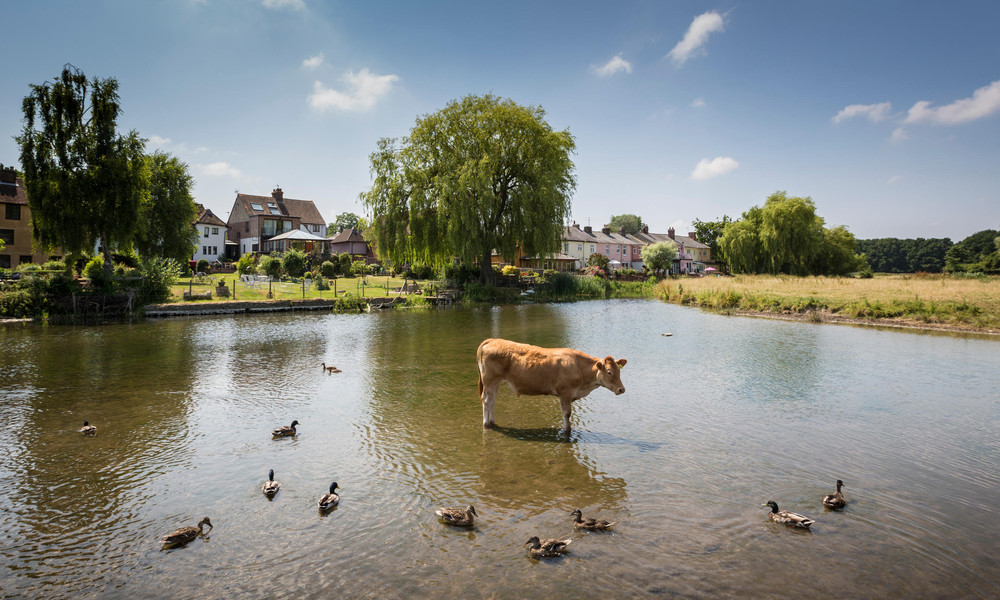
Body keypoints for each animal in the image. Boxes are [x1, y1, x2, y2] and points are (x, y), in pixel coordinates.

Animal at [474, 338, 624, 432]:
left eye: (619, 370)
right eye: (609, 372)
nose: (621, 389)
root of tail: (493, 340)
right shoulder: (565, 393)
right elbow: (567, 414)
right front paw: (567, 430)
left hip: (495, 383)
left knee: (492, 400)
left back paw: (492, 421)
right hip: (490, 381)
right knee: (486, 400)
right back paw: (486, 423)